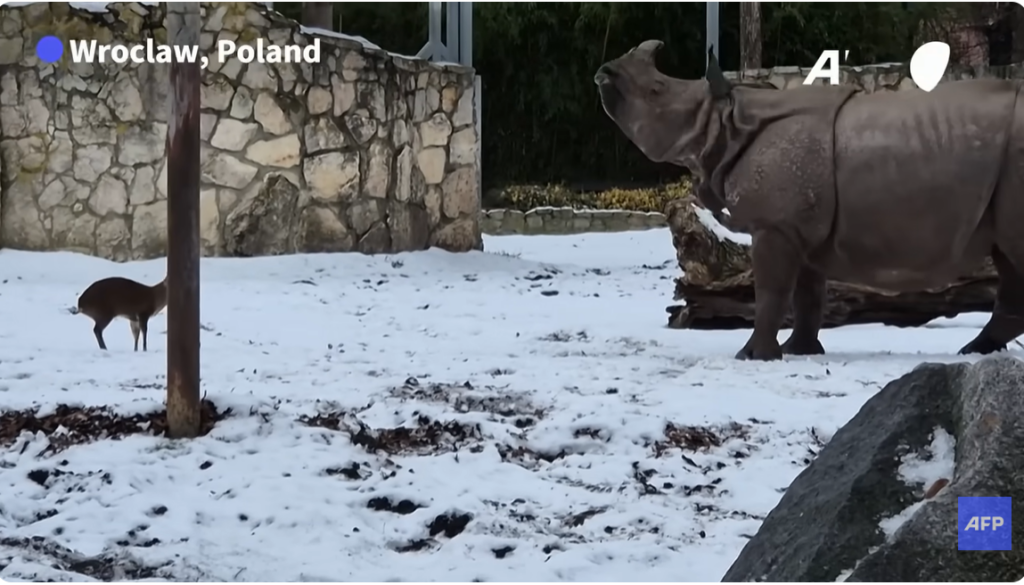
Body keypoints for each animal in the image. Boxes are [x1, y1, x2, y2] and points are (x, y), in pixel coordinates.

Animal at [596, 40, 1024, 360]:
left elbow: (771, 292)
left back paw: (974, 351)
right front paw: (799, 352)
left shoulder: (774, 226)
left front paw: (752, 356)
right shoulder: (801, 228)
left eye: (656, 91)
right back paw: (976, 351)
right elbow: (807, 295)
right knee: (1008, 260)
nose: (606, 72)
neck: (727, 120)